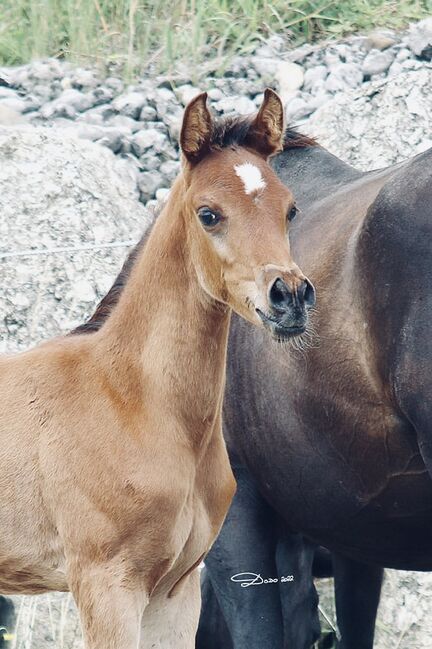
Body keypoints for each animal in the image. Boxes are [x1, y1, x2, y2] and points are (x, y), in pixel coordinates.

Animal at [0, 88, 314, 644]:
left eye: (290, 209)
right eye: (208, 214)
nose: (291, 297)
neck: (131, 401)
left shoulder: (174, 593)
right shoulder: (106, 585)